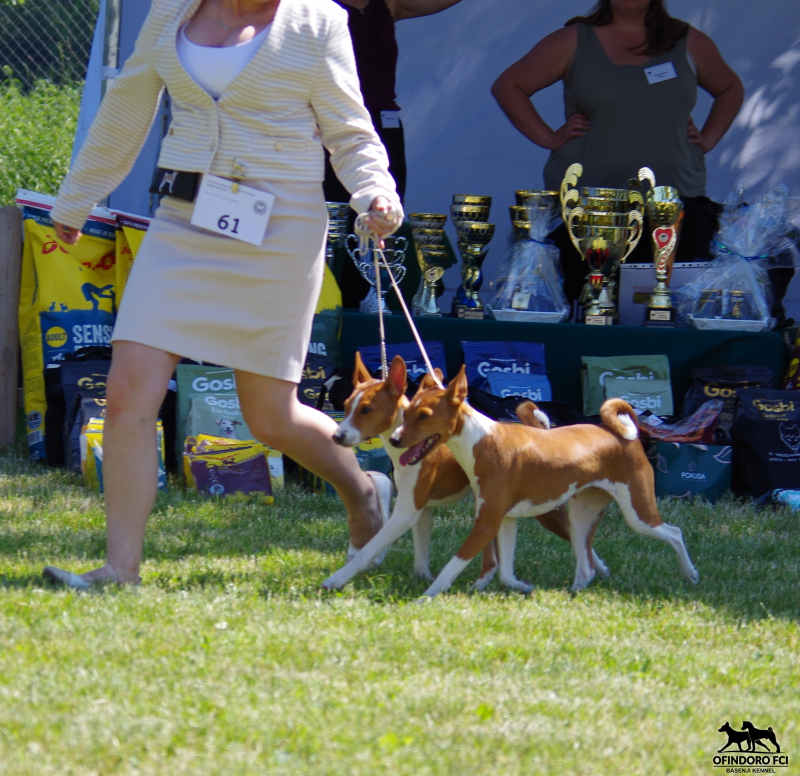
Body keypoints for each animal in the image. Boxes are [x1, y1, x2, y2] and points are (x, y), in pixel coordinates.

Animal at [322, 354, 608, 592]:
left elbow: (367, 550)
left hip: (544, 510)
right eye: (345, 406)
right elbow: (420, 556)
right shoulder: (422, 510)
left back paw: (597, 569)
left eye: (366, 409)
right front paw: (425, 579)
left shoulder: (407, 511)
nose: (336, 436)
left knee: (575, 534)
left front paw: (338, 578)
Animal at [390, 364, 700, 596]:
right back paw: (574, 591)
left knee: (674, 533)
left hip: (638, 513)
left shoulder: (487, 521)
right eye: (406, 412)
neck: (480, 442)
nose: (394, 439)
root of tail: (624, 436)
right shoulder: (504, 519)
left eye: (424, 416)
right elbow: (504, 572)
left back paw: (690, 573)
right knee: (586, 566)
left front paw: (425, 598)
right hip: (580, 516)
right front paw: (521, 586)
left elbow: (451, 567)